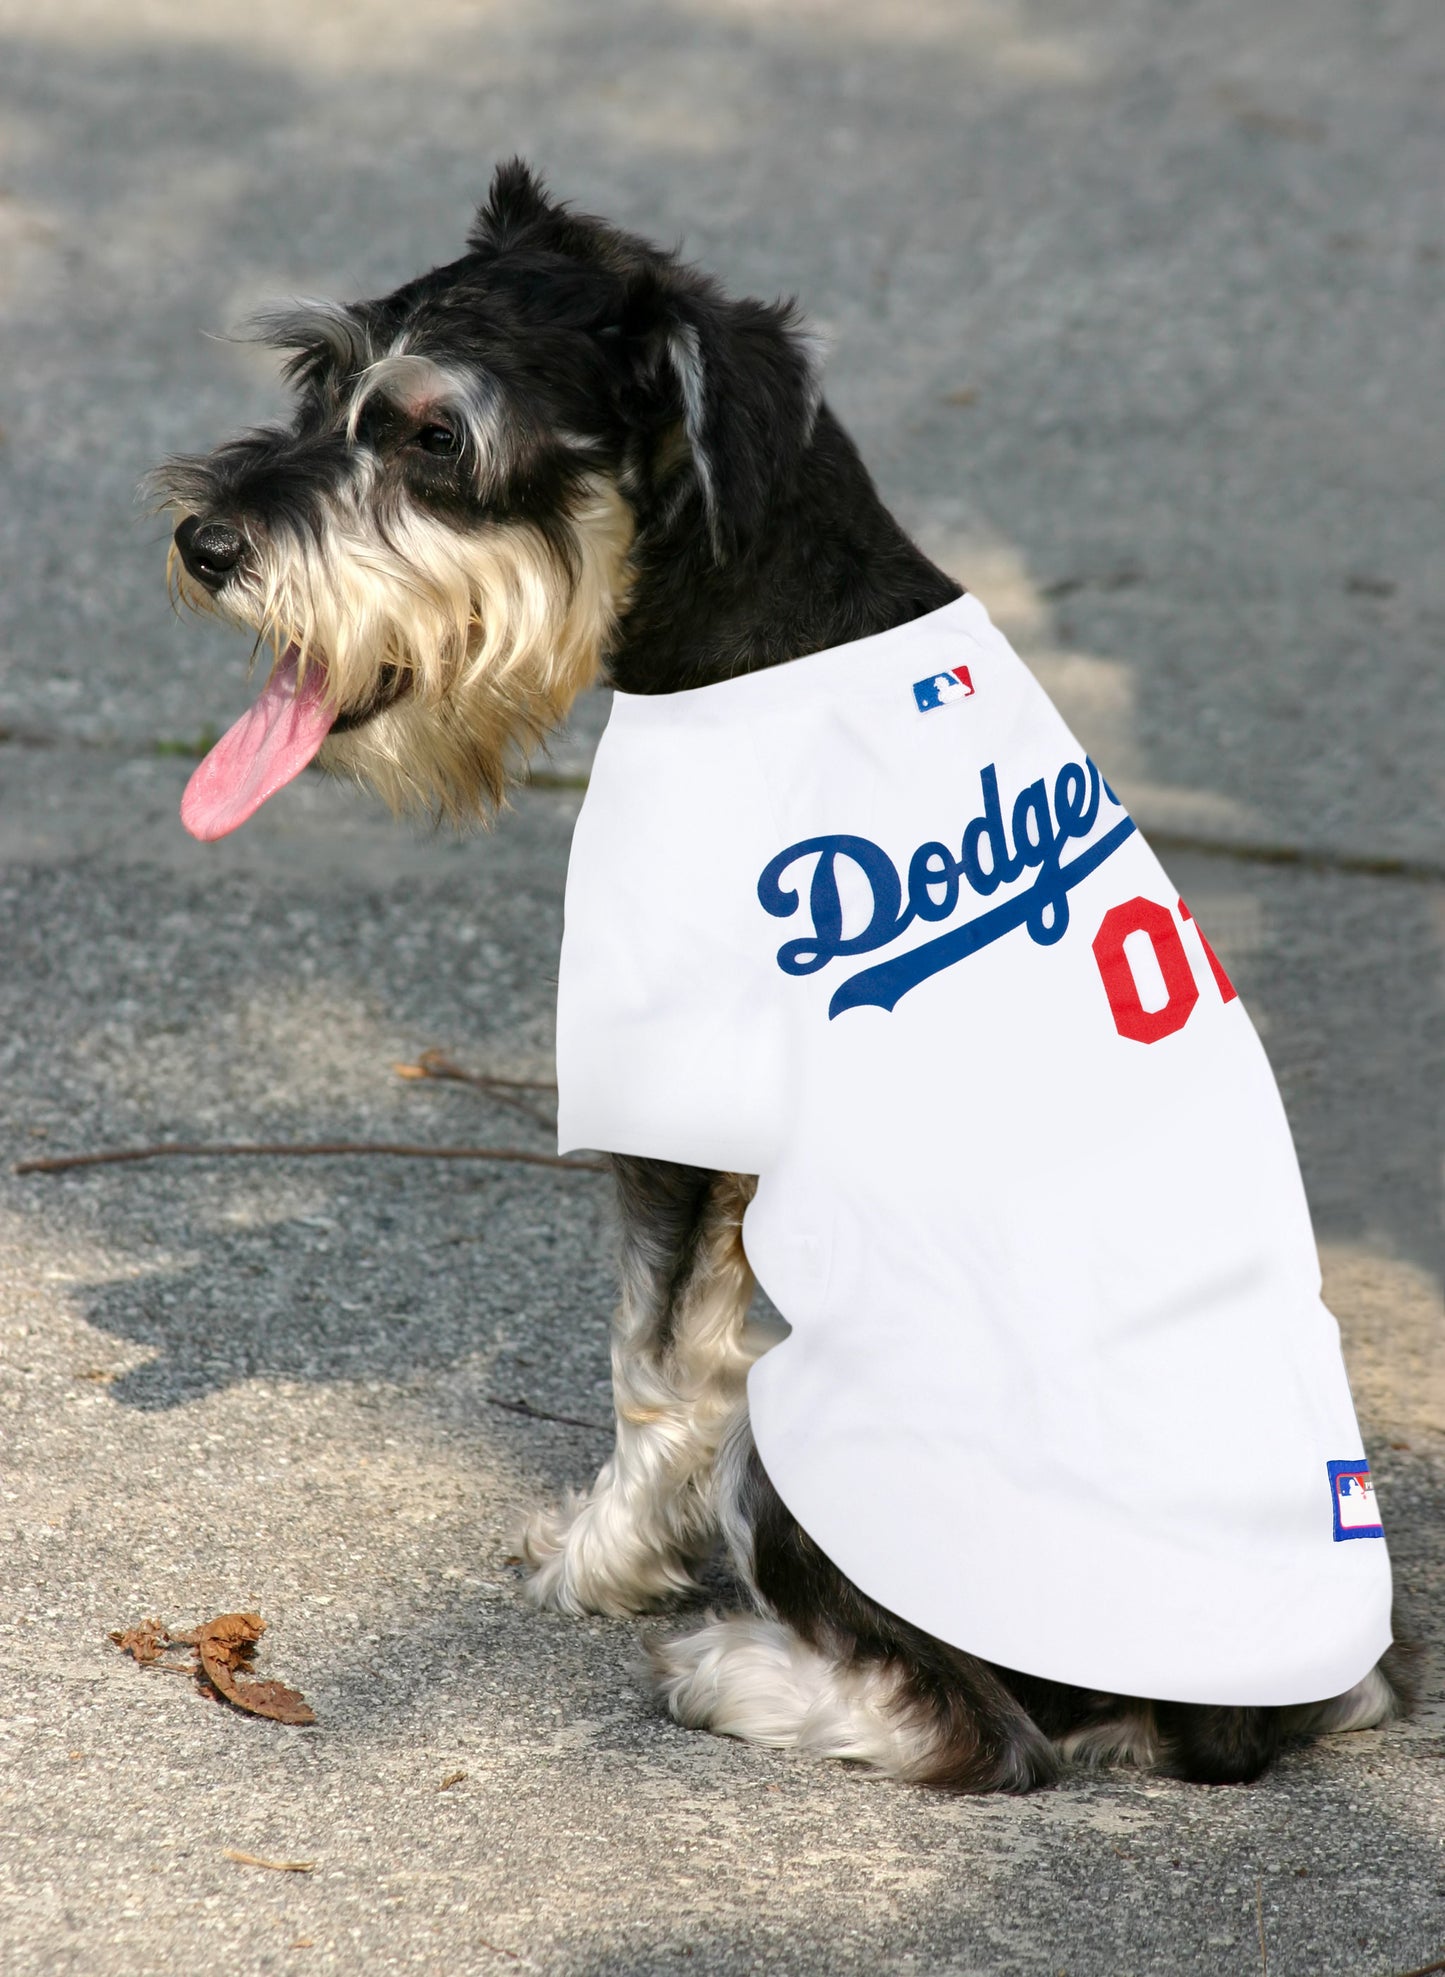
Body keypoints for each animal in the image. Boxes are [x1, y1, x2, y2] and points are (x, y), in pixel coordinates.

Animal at [152, 158, 1407, 1795]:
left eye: (435, 435)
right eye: (317, 381)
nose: (203, 540)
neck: (765, 619)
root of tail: (1229, 1717)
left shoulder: (679, 1120)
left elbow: (653, 1363)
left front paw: (598, 1564)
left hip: (824, 1415)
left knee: (985, 1734)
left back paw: (732, 1668)